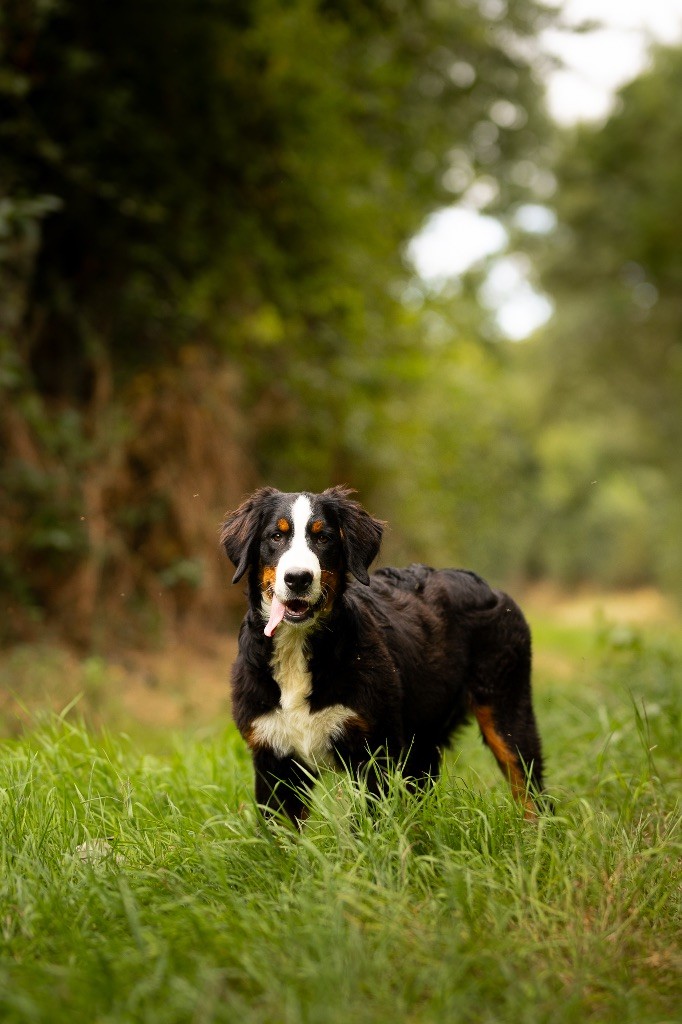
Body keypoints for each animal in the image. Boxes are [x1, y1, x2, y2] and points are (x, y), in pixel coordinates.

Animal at [220, 485, 544, 823]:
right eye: (276, 536)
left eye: (323, 538)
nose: (298, 578)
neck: (297, 646)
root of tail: (491, 589)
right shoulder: (275, 760)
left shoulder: (374, 751)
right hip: (422, 743)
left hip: (507, 712)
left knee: (530, 791)